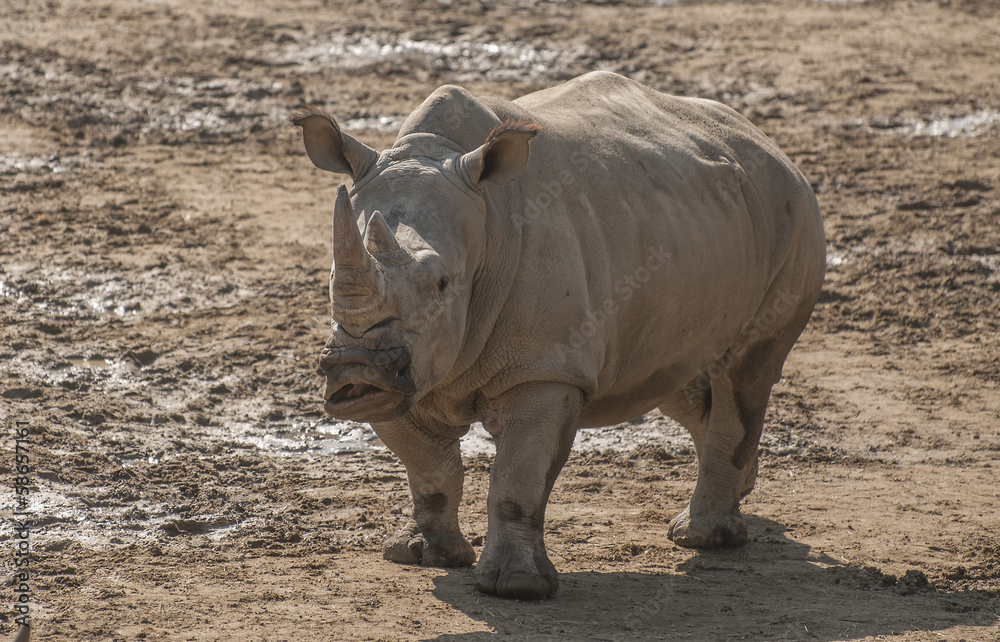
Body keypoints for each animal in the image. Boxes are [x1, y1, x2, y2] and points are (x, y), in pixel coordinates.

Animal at [291, 71, 825, 600]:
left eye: (442, 284)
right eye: (331, 279)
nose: (355, 368)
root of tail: (768, 144)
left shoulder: (544, 368)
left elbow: (518, 477)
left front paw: (516, 586)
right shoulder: (407, 371)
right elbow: (428, 468)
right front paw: (423, 555)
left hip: (793, 212)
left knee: (745, 372)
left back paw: (702, 539)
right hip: (697, 222)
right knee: (678, 376)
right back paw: (737, 495)